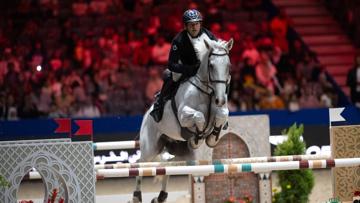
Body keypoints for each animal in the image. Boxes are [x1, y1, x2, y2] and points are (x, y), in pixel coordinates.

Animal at [132, 38, 233, 203]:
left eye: (228, 65)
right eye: (211, 65)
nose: (220, 99)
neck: (208, 92)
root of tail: (146, 115)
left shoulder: (221, 111)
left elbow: (222, 115)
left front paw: (212, 138)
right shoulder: (183, 115)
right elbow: (199, 116)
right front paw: (198, 138)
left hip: (184, 154)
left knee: (168, 165)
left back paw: (161, 197)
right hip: (150, 148)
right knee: (140, 164)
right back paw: (136, 196)